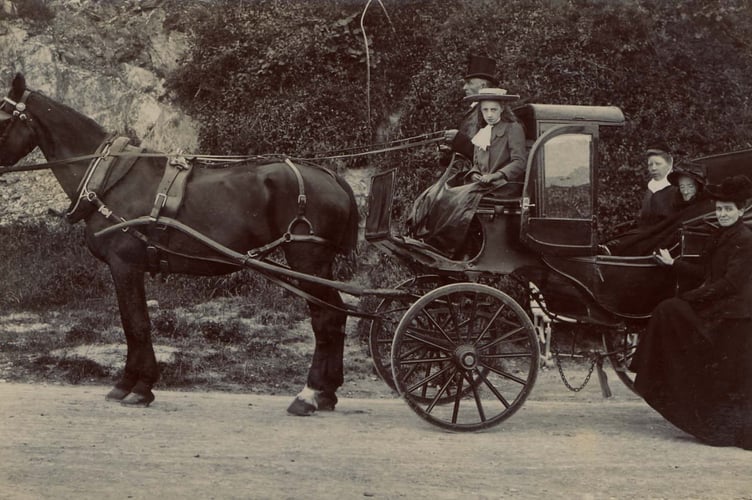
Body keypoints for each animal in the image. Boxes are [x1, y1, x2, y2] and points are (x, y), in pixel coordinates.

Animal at [0, 71, 358, 414]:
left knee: (325, 318)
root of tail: (332, 178)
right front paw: (129, 383)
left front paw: (139, 387)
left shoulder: (125, 265)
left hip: (307, 259)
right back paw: (327, 393)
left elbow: (136, 324)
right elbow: (133, 323)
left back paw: (309, 394)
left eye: (2, 118)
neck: (111, 178)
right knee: (337, 314)